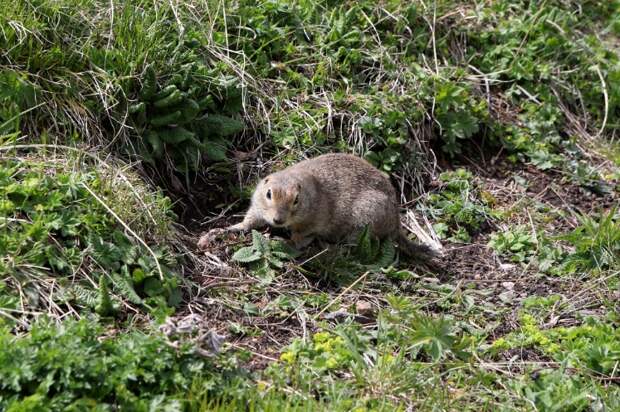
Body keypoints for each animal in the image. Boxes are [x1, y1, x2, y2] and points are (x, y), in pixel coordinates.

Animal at [197, 153, 436, 260]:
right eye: (268, 194)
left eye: (296, 200)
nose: (278, 220)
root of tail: (396, 223)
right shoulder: (258, 208)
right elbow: (249, 220)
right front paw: (229, 228)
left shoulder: (312, 222)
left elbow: (301, 237)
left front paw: (287, 242)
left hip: (364, 221)